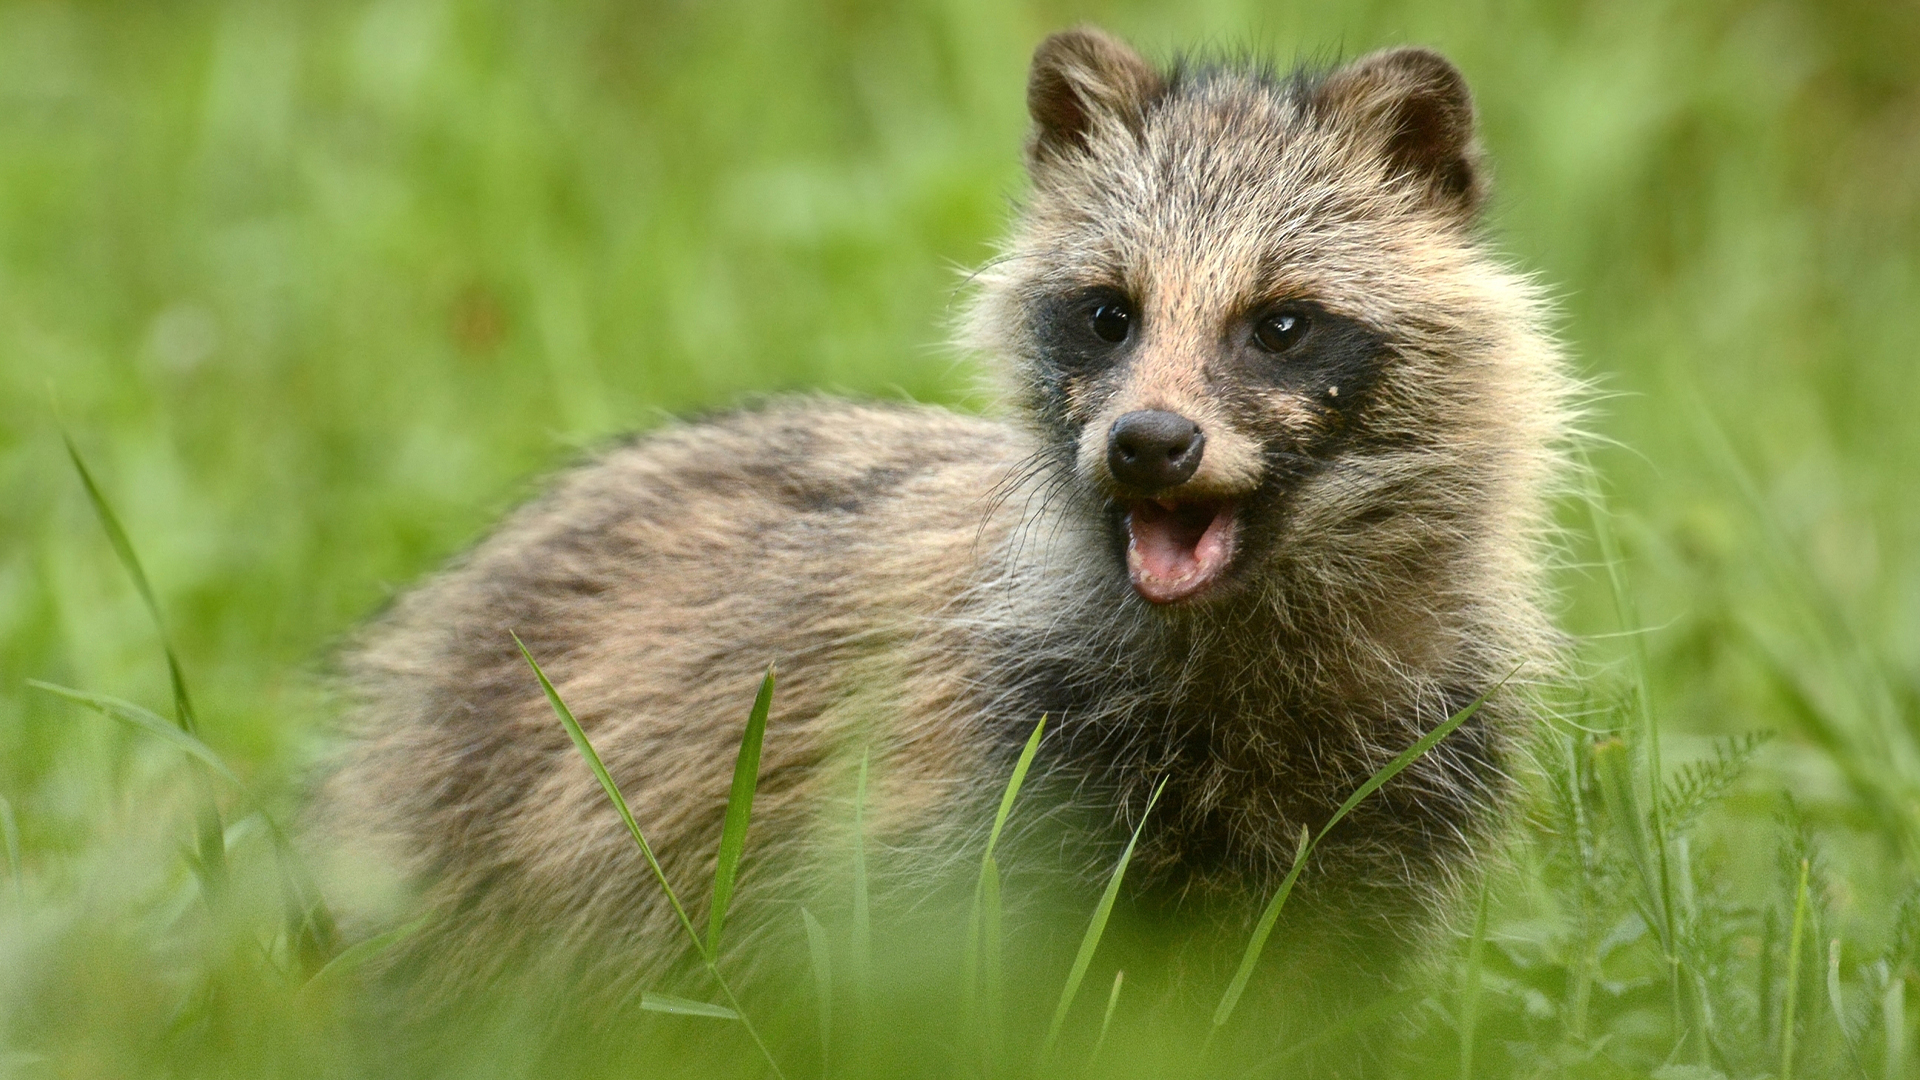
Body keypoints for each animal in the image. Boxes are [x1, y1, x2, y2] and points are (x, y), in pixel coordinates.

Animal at [311, 27, 1574, 999]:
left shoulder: (1397, 805)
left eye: (1281, 323)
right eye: (1108, 313)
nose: (1148, 443)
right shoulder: (980, 796)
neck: (1248, 645)